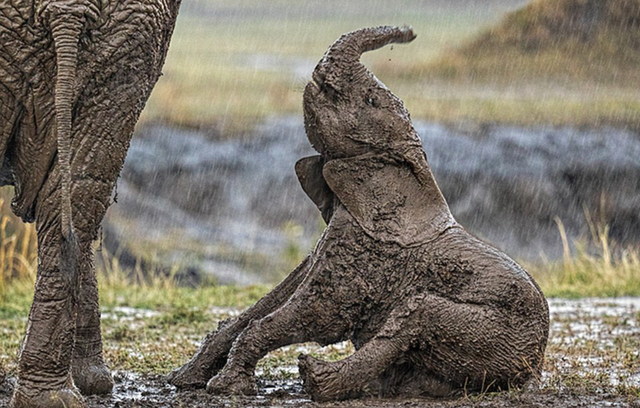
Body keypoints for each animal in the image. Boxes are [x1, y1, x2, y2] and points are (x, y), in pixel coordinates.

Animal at [170, 26, 552, 402]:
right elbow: (271, 300)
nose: (410, 33)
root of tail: (534, 368)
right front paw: (184, 379)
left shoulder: (367, 256)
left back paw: (316, 379)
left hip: (491, 329)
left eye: (370, 101)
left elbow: (318, 313)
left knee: (420, 312)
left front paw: (226, 387)